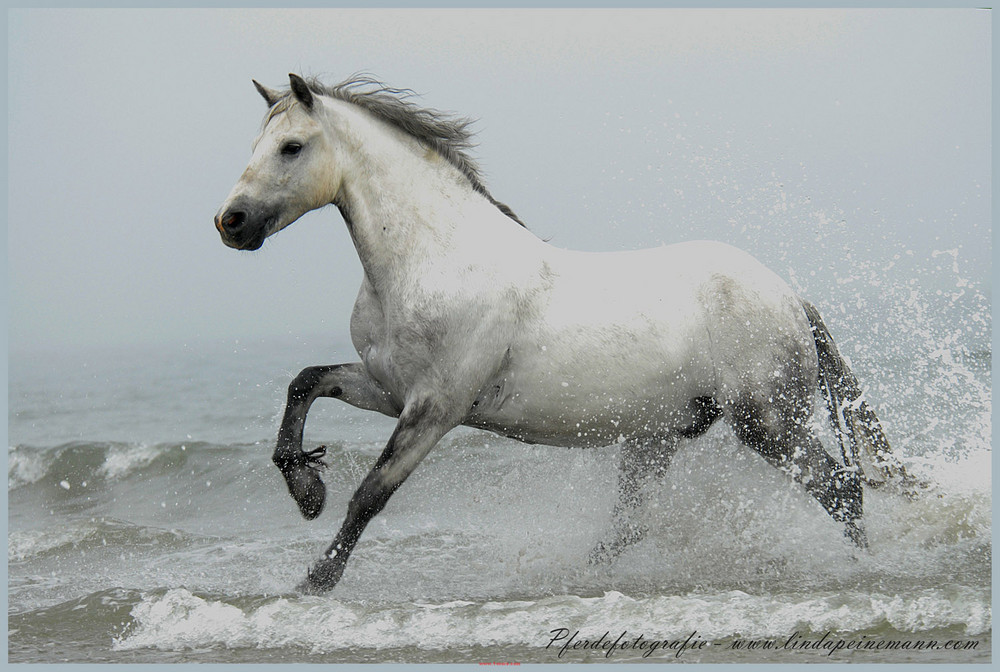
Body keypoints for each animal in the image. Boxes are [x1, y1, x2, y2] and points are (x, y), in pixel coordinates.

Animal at [215, 73, 912, 592]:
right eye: (255, 143)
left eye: (292, 147)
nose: (231, 222)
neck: (432, 259)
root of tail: (788, 295)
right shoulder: (388, 388)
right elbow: (304, 383)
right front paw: (306, 489)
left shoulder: (436, 407)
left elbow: (371, 494)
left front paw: (315, 581)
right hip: (658, 436)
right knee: (629, 527)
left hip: (768, 423)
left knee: (842, 490)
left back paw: (863, 570)